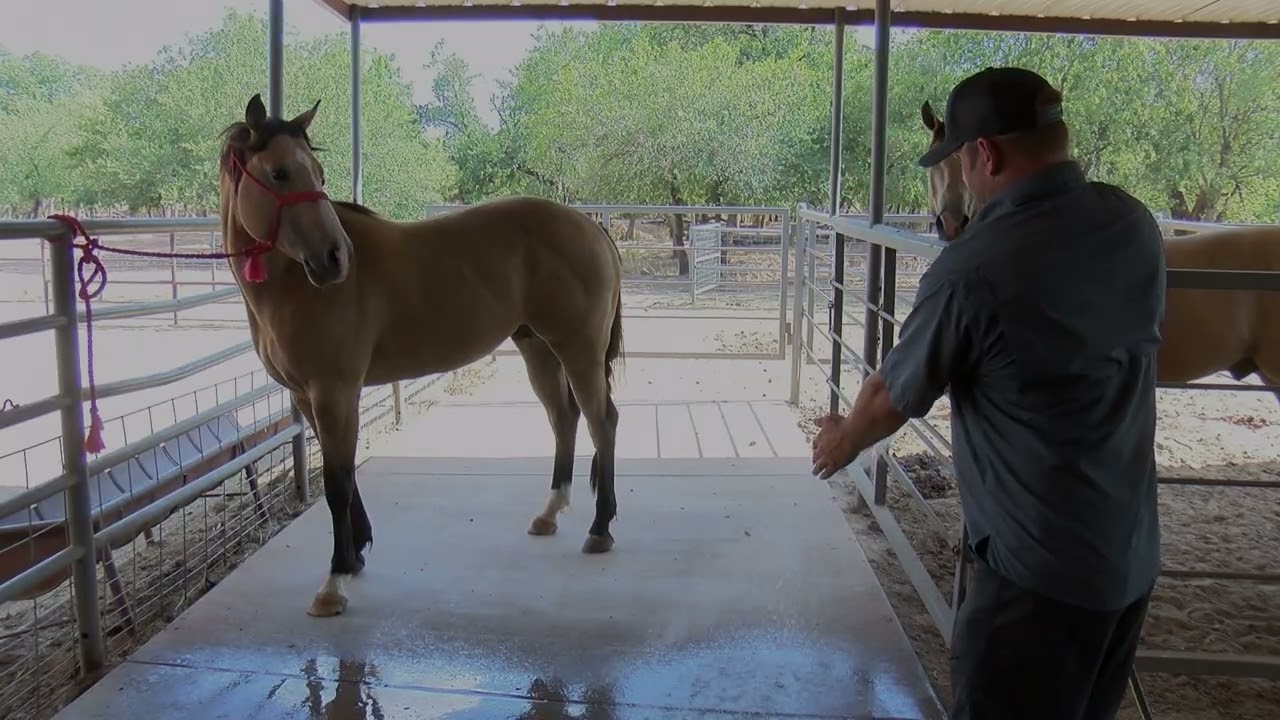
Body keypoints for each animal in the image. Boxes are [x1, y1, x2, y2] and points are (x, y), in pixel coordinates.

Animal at [218, 94, 626, 618]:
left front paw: (334, 582)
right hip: (538, 348)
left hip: (578, 349)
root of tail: (589, 227)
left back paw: (600, 527)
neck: (293, 287)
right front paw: (357, 553)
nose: (336, 258)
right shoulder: (308, 399)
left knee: (601, 421)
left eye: (319, 174)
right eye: (279, 173)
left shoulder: (334, 392)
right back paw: (550, 513)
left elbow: (337, 484)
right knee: (564, 418)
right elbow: (342, 473)